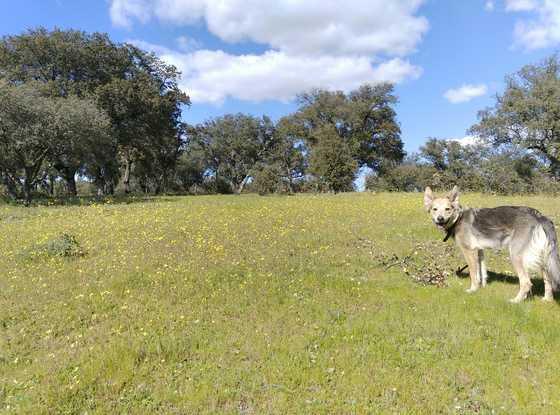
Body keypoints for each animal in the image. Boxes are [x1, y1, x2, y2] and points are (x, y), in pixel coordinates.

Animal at [424, 187, 560, 304]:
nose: (440, 219)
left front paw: (472, 290)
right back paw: (547, 299)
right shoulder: (479, 251)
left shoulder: (469, 251)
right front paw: (482, 287)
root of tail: (538, 216)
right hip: (542, 257)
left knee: (526, 282)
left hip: (516, 256)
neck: (458, 218)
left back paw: (515, 301)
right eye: (434, 209)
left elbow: (473, 274)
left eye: (447, 209)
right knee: (548, 280)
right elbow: (482, 272)